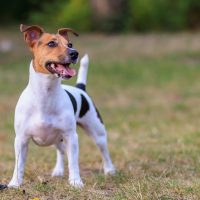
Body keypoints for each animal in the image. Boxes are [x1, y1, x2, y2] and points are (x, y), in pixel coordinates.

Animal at [3, 24, 115, 188]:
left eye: (70, 44)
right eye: (51, 43)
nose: (74, 53)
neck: (46, 94)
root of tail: (80, 88)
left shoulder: (71, 136)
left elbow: (73, 162)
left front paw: (75, 182)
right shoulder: (21, 140)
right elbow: (19, 164)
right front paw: (15, 183)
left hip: (97, 132)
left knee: (103, 150)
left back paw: (110, 170)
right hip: (56, 138)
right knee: (61, 151)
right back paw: (58, 170)